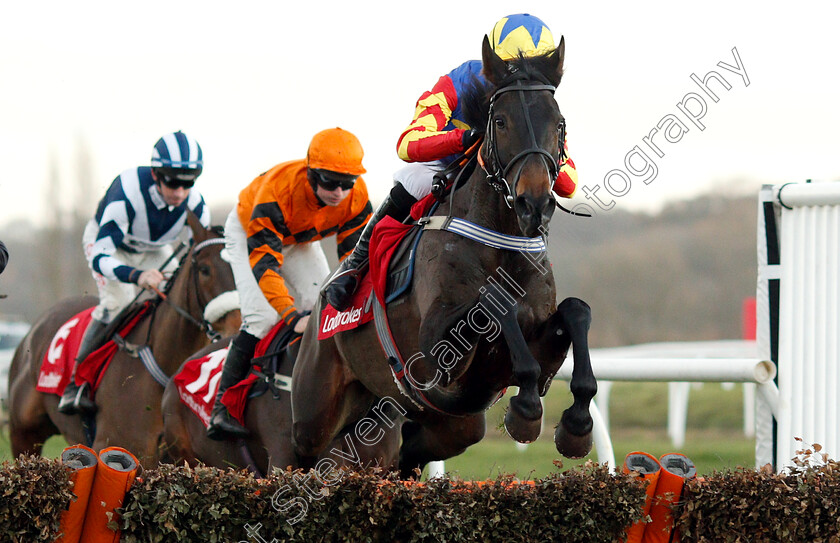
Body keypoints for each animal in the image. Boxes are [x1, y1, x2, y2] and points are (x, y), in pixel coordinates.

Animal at [296, 37, 596, 476]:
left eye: (559, 123)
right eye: (500, 121)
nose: (535, 204)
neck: (503, 244)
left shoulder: (526, 358)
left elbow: (575, 312)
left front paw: (576, 425)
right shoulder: (437, 355)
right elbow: (495, 302)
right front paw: (525, 412)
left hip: (443, 423)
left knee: (405, 457)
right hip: (315, 411)